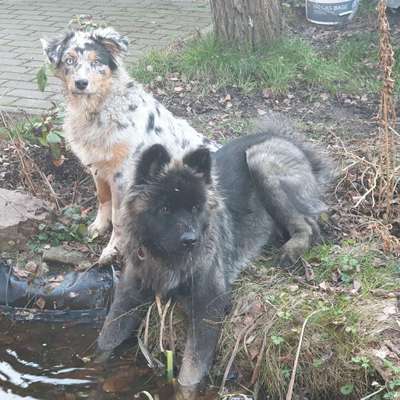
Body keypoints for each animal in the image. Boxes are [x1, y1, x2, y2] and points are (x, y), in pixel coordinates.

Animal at [97, 115, 334, 390]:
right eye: (165, 209)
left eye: (195, 208)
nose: (191, 240)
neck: (165, 259)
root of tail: (290, 142)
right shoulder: (129, 292)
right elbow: (107, 338)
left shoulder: (209, 300)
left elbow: (191, 369)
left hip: (261, 160)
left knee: (309, 225)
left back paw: (290, 250)